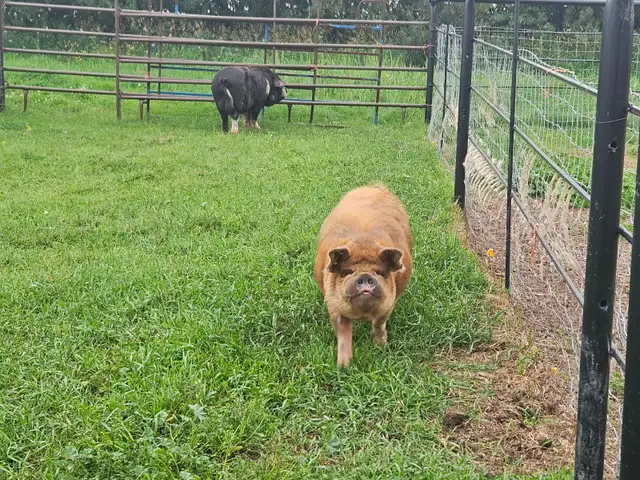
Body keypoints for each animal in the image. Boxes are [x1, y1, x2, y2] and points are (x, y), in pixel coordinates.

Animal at [314, 185, 413, 368]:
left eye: (380, 272)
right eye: (347, 272)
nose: (365, 276)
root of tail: (375, 186)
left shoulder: (391, 302)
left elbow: (379, 322)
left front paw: (381, 347)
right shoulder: (333, 303)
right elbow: (343, 330)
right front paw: (343, 366)